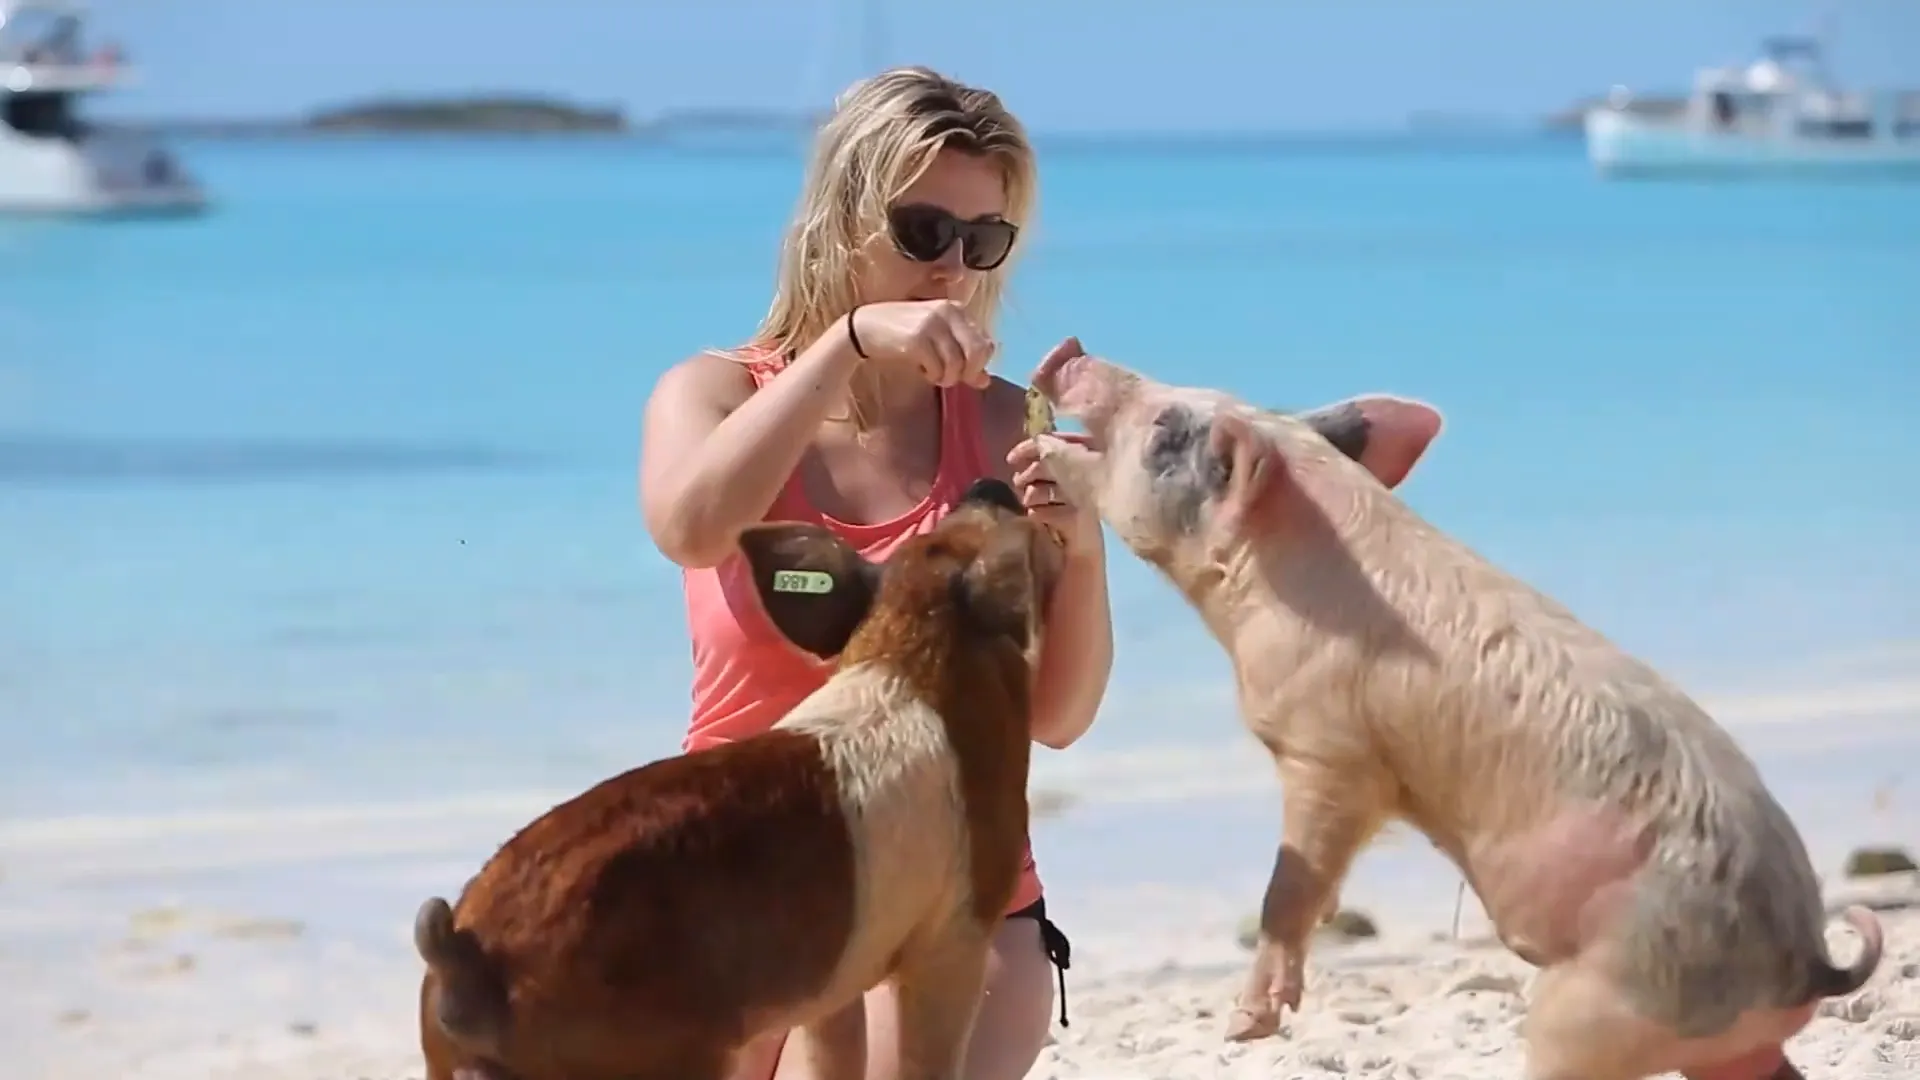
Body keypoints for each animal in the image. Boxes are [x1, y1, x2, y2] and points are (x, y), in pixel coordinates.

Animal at [1029, 345, 1881, 1076]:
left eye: (1165, 427)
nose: (1069, 352)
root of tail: (1807, 964)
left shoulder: (1331, 748)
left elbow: (1293, 883)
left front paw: (1246, 1027)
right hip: (1717, 1041)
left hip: (1603, 1002)